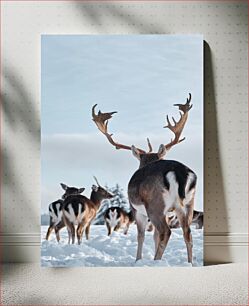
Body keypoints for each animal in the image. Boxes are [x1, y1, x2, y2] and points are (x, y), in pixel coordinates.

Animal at [91, 93, 196, 262]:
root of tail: (178, 171)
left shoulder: (136, 210)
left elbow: (141, 235)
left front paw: (138, 260)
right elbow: (154, 236)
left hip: (155, 205)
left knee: (166, 232)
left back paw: (156, 261)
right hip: (188, 204)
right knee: (187, 233)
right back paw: (189, 263)